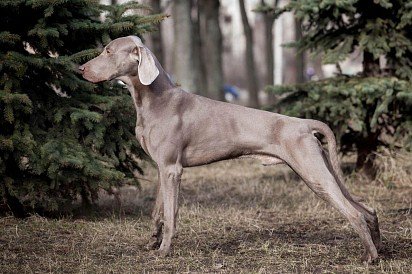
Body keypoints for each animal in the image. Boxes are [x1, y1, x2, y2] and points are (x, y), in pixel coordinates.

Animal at [80, 35, 384, 262]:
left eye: (108, 51)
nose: (80, 69)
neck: (155, 99)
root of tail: (304, 124)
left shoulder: (172, 169)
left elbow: (170, 214)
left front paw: (165, 251)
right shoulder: (161, 169)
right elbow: (158, 213)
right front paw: (151, 243)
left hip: (314, 173)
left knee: (355, 213)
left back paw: (370, 257)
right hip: (322, 170)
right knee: (369, 208)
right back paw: (381, 247)